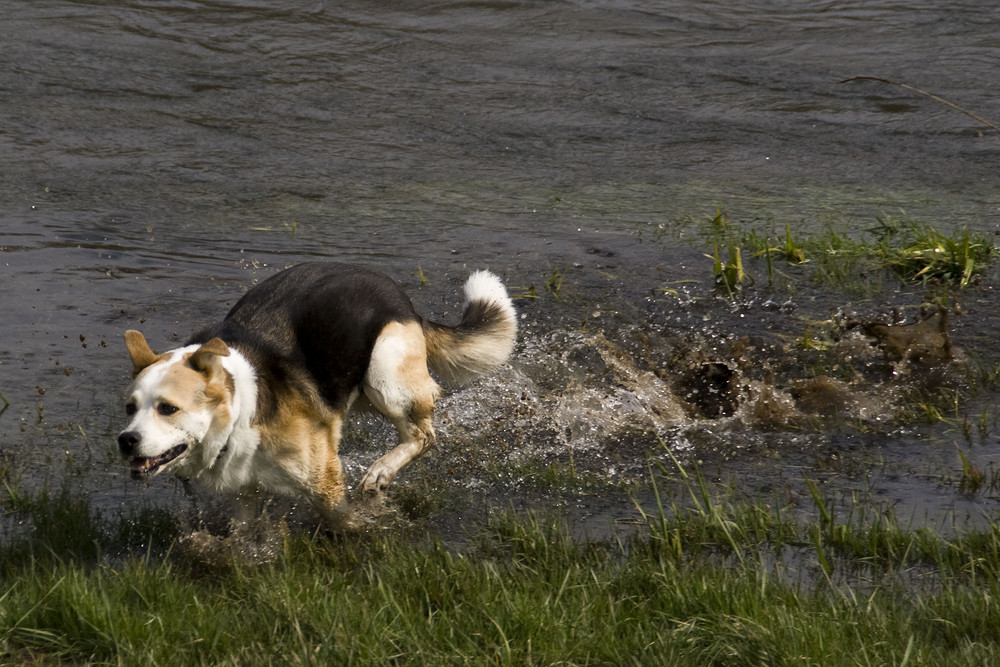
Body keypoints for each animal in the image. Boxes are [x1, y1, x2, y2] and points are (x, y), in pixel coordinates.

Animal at [119, 260, 516, 528]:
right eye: (129, 408)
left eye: (168, 408)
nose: (125, 441)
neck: (241, 410)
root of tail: (408, 305)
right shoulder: (245, 492)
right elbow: (242, 532)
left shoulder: (324, 482)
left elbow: (344, 522)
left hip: (385, 376)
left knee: (423, 434)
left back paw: (381, 471)